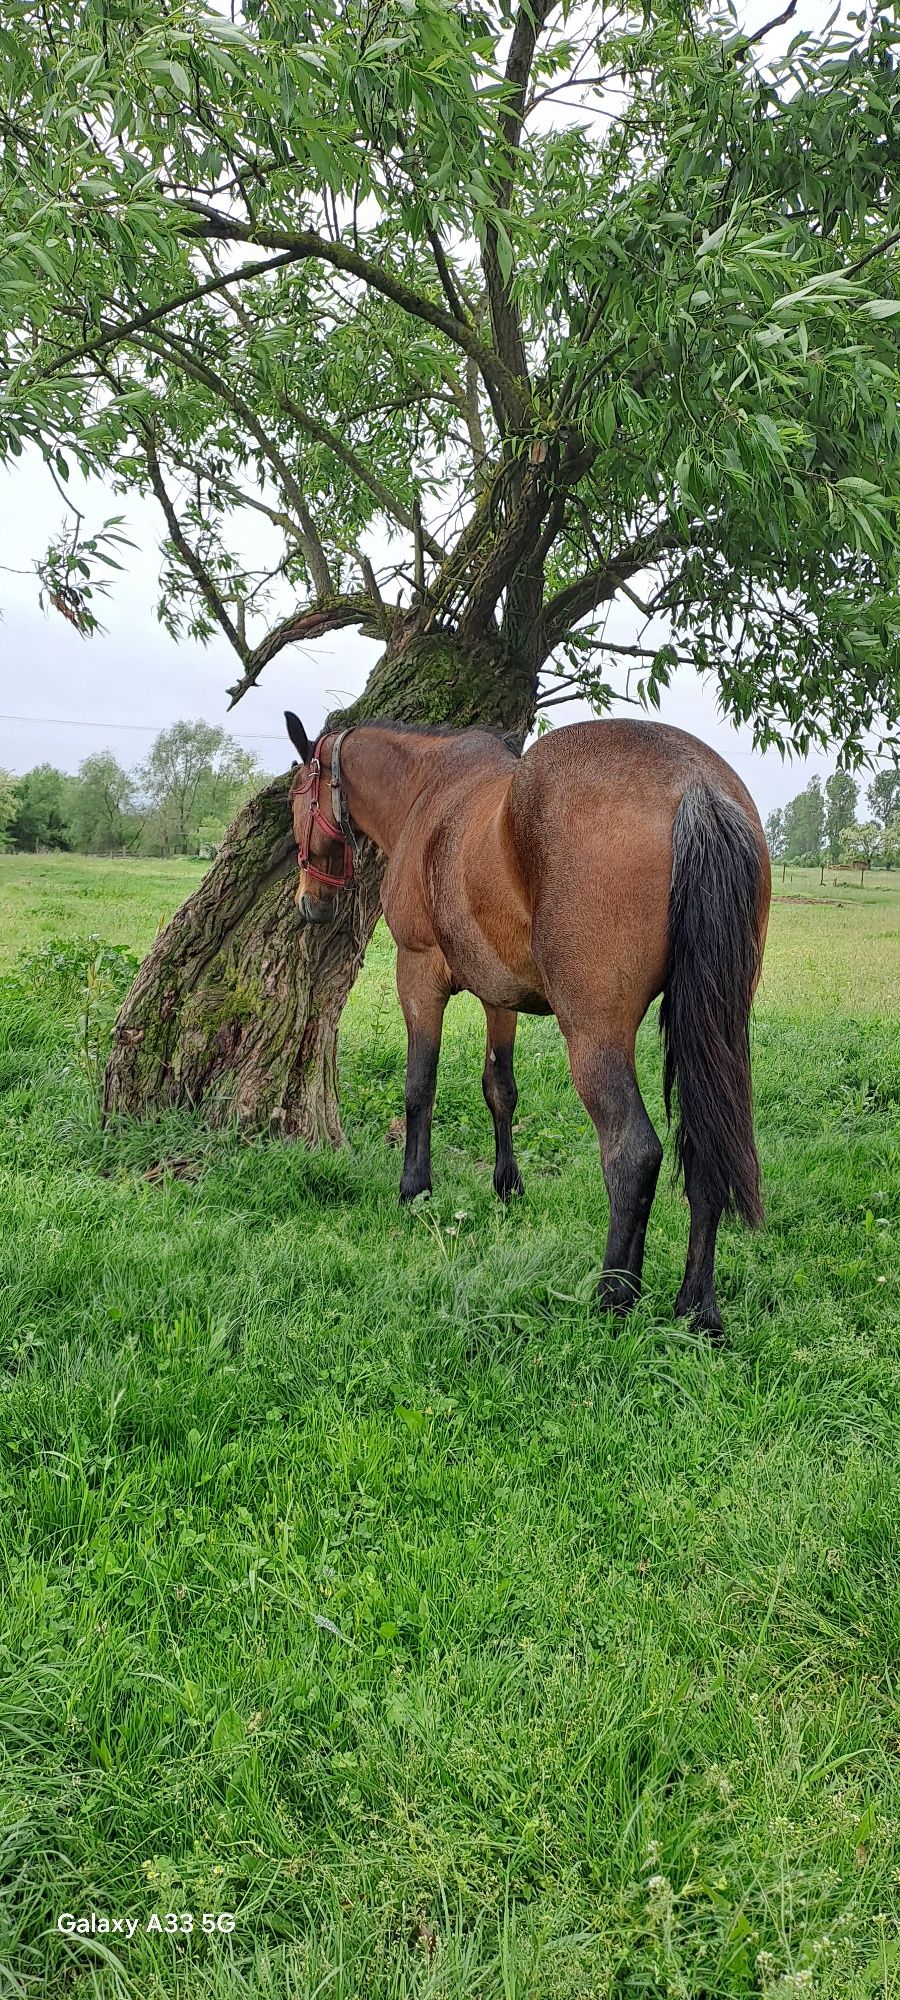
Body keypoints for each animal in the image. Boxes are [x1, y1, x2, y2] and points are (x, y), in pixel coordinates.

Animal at [284, 708, 768, 1344]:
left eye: (296, 798)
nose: (310, 904)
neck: (426, 789)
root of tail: (697, 785)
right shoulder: (501, 999)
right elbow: (501, 1090)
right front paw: (507, 1186)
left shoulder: (416, 973)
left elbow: (419, 1089)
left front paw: (415, 1189)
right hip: (716, 1033)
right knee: (704, 1150)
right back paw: (696, 1308)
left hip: (594, 1036)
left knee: (633, 1154)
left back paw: (614, 1294)